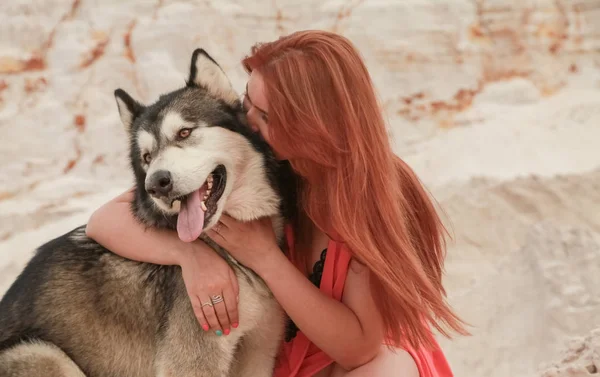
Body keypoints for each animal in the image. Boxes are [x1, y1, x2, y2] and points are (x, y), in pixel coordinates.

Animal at [0, 50, 296, 376]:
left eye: (184, 132)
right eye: (146, 157)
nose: (156, 184)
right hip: (42, 352)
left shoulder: (259, 351)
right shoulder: (191, 363)